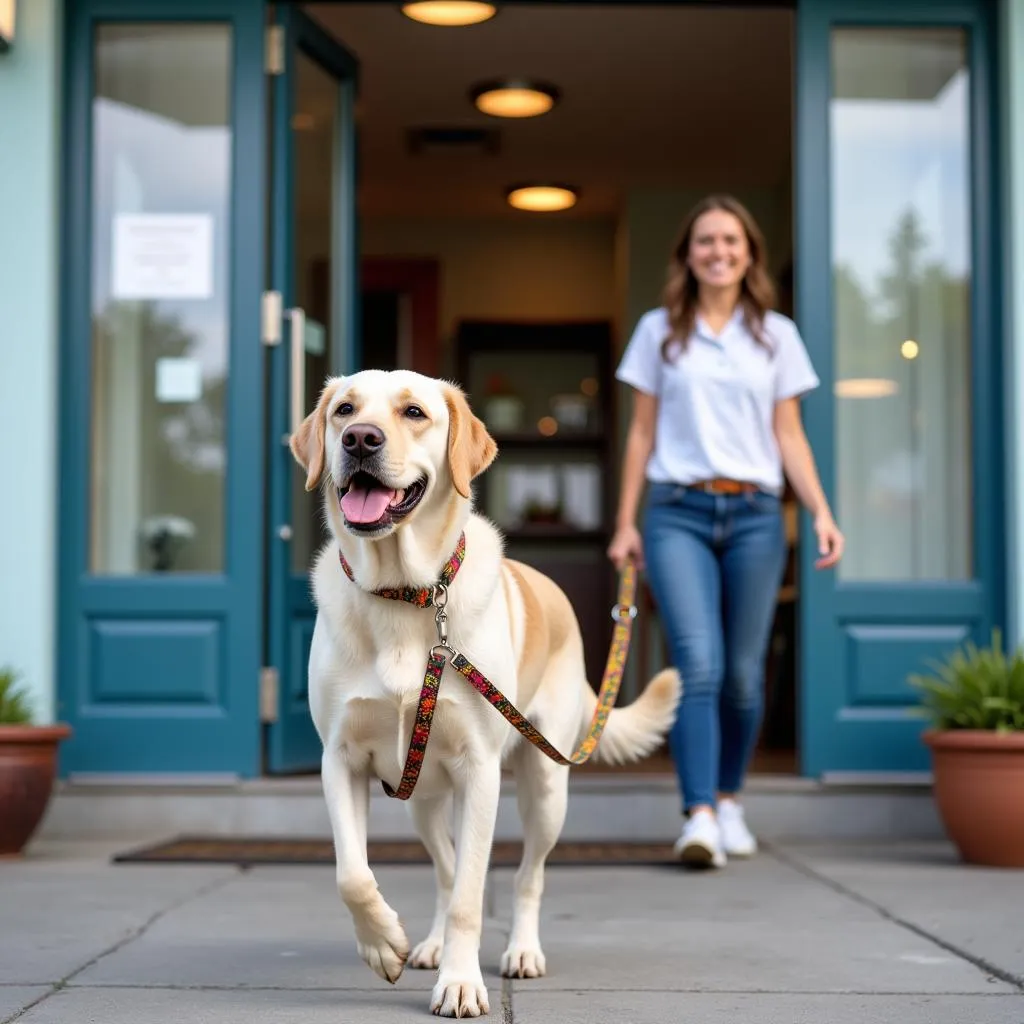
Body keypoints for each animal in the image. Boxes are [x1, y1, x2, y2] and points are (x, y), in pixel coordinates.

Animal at [288, 368, 679, 1015]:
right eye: (344, 409)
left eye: (414, 412)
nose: (359, 439)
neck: (406, 593)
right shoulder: (338, 760)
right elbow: (353, 874)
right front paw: (384, 943)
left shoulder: (479, 771)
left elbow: (474, 894)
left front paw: (461, 982)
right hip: (420, 796)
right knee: (444, 870)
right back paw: (428, 944)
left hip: (545, 787)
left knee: (526, 876)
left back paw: (521, 951)